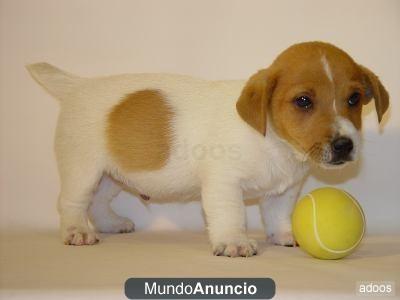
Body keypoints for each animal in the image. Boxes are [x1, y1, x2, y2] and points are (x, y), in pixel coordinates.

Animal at [27, 41, 388, 258]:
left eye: (354, 99)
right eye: (303, 101)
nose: (344, 145)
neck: (272, 141)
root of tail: (77, 86)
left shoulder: (282, 192)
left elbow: (278, 217)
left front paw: (283, 235)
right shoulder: (223, 185)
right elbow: (231, 215)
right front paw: (234, 242)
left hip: (111, 175)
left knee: (98, 203)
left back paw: (110, 224)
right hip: (84, 170)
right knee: (72, 203)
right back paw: (76, 231)